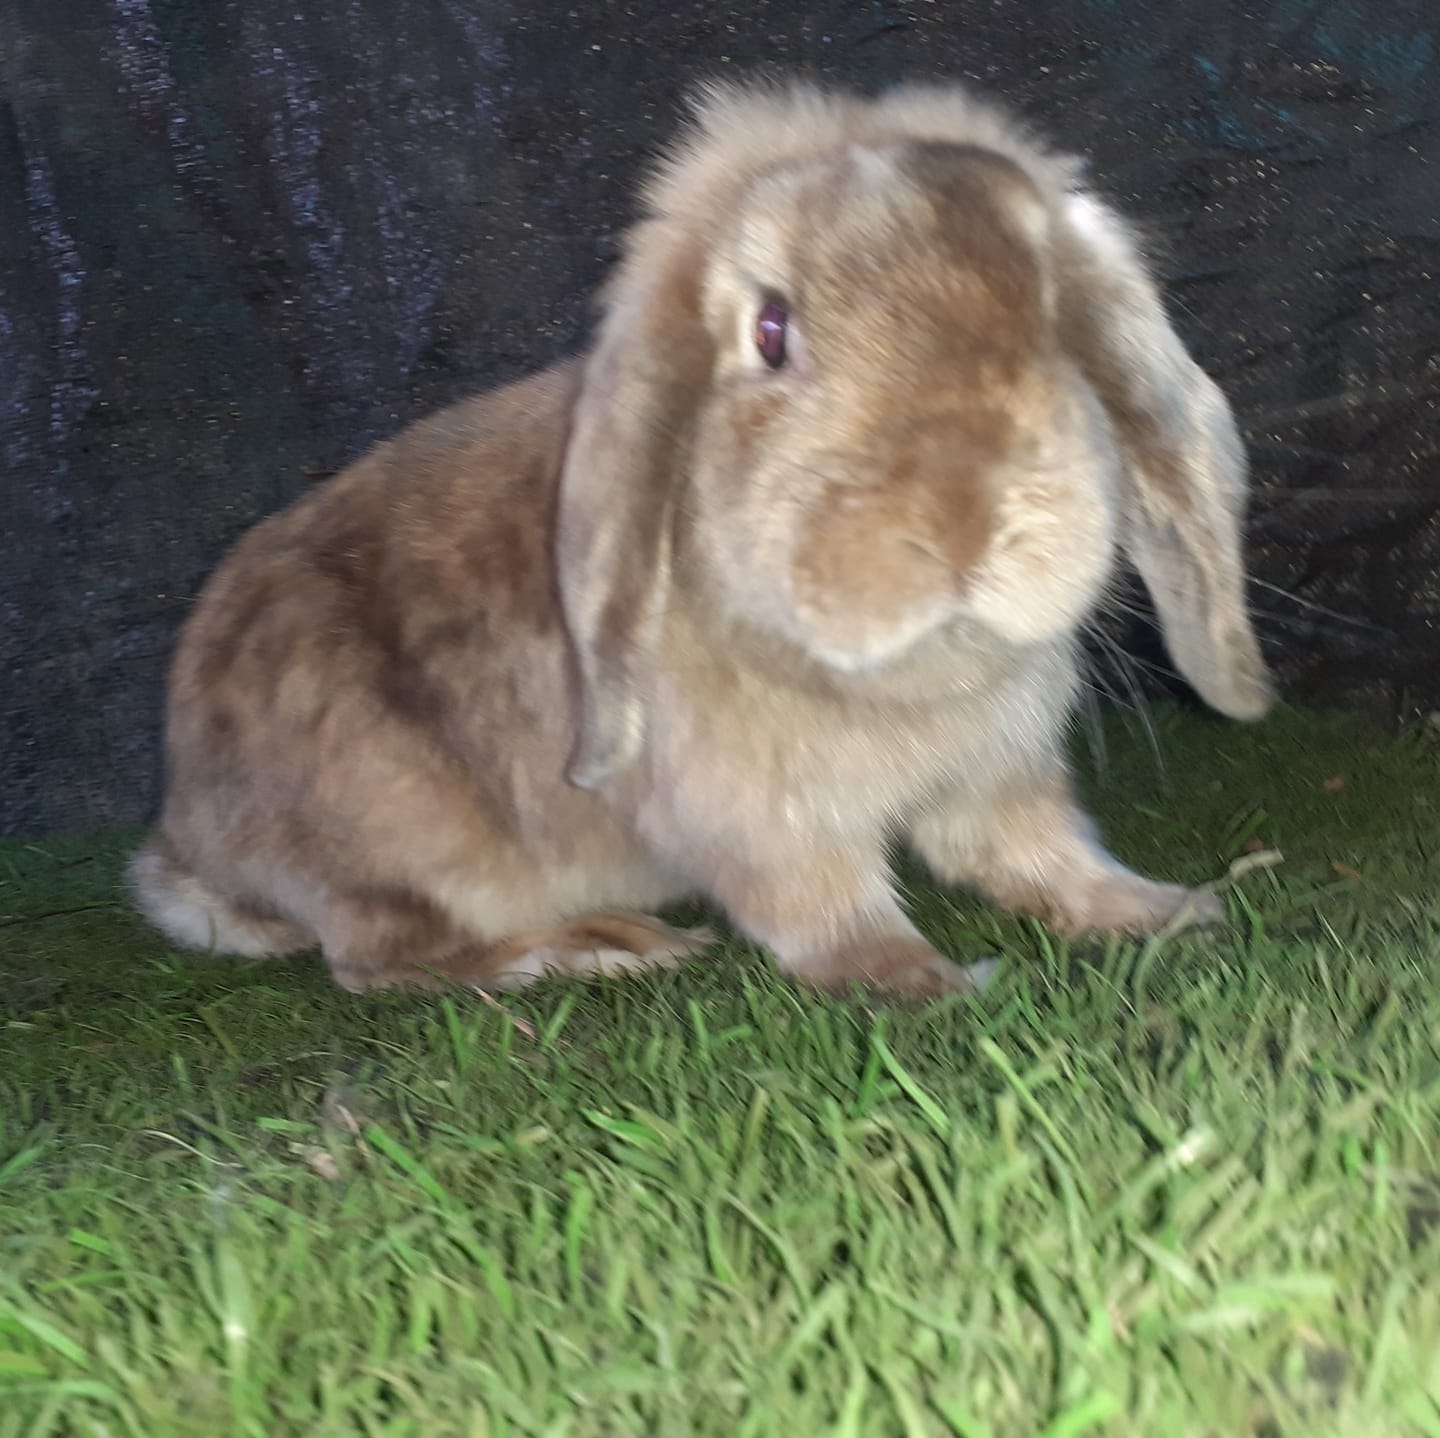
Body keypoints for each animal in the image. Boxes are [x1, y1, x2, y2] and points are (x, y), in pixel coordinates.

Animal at [129, 76, 1274, 999]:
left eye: (1051, 313)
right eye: (770, 330)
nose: (966, 518)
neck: (893, 680)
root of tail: (189, 842)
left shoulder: (1000, 775)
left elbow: (1044, 857)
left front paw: (1169, 910)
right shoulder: (758, 819)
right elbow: (825, 909)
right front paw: (923, 984)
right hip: (397, 837)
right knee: (380, 961)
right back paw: (599, 947)